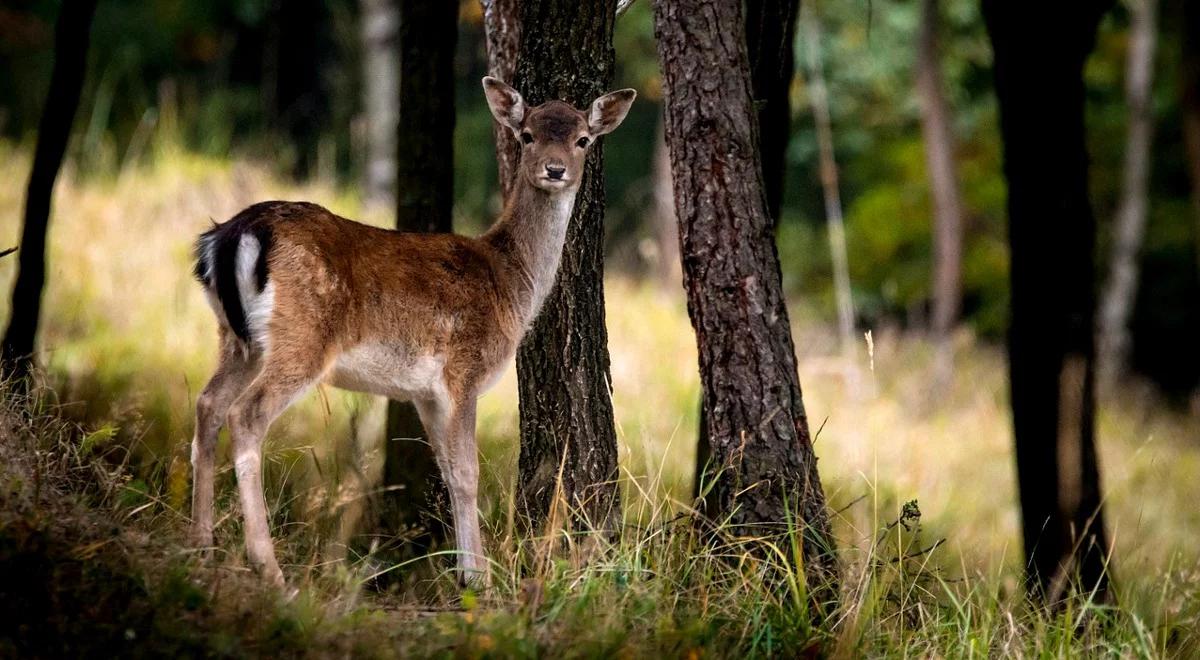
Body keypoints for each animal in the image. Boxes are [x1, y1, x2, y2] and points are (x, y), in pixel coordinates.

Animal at [187, 77, 638, 590]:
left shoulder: (423, 392)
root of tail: (229, 236)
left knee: (208, 404)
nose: (555, 168)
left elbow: (445, 469)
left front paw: (464, 570)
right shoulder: (464, 369)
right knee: (246, 415)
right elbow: (467, 471)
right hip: (302, 338)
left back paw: (200, 548)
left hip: (237, 339)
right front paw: (478, 578)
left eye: (583, 139)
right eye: (526, 135)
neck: (511, 283)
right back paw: (270, 568)